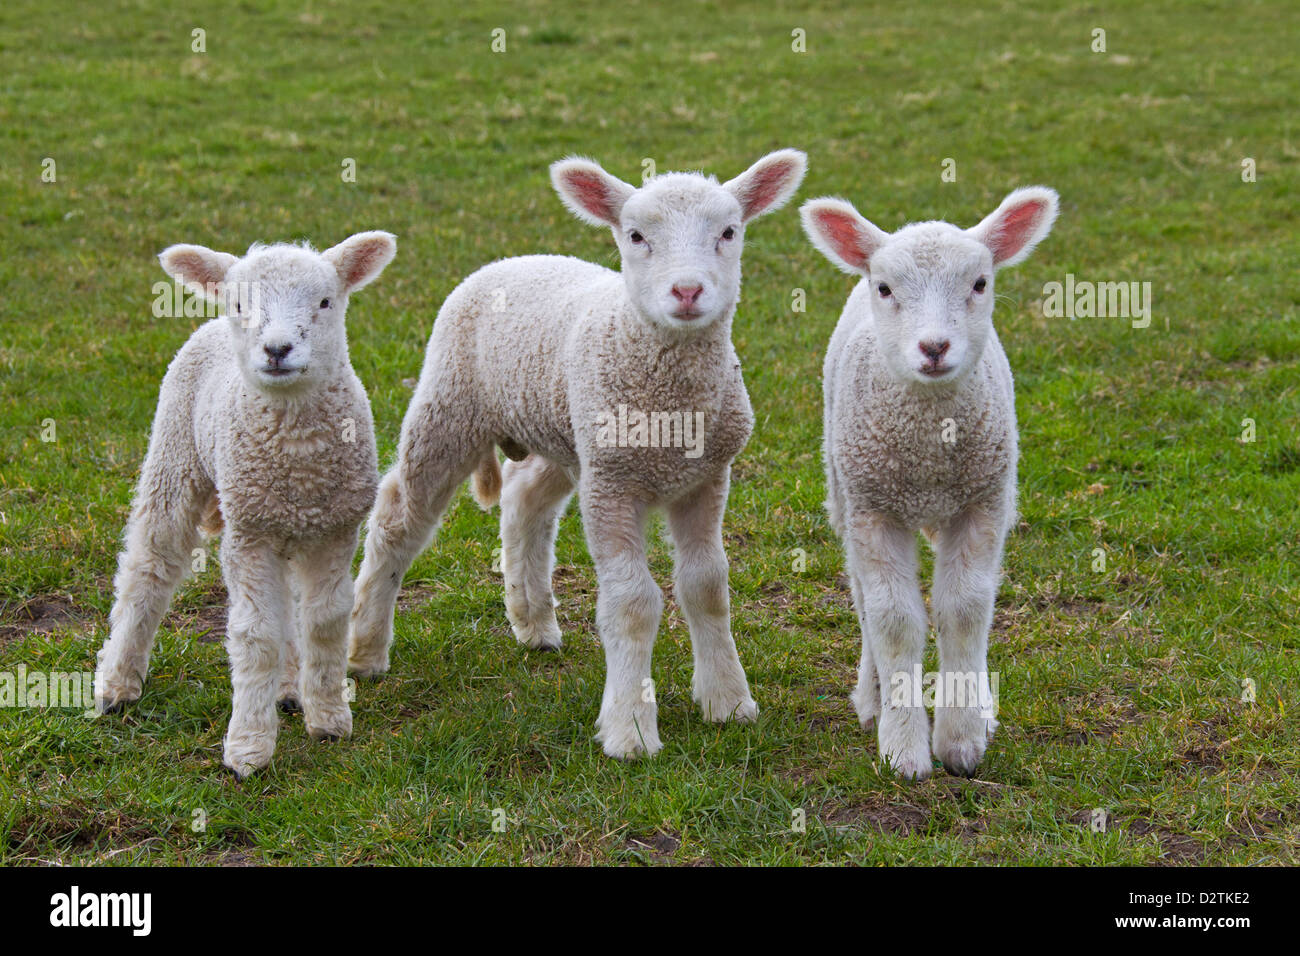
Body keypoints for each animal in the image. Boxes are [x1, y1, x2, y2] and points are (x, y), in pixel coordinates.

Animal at [94, 230, 395, 780]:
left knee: (288, 607)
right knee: (149, 566)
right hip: (175, 457)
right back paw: (117, 684)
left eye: (326, 302)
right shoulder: (248, 534)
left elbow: (324, 621)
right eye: (240, 304)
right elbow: (256, 636)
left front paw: (328, 718)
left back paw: (290, 689)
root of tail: (208, 325)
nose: (277, 349)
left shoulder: (335, 530)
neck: (297, 456)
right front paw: (249, 748)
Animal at [351, 149, 806, 759]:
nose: (687, 292)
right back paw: (366, 651)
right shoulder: (612, 481)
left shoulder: (705, 477)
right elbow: (633, 602)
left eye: (729, 232)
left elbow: (707, 586)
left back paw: (533, 623)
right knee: (397, 519)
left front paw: (729, 701)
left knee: (524, 502)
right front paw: (631, 730)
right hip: (449, 408)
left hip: (564, 437)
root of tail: (516, 258)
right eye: (636, 235)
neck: (670, 406)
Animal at [795, 184, 1060, 780]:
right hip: (845, 491)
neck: (928, 453)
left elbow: (964, 609)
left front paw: (962, 739)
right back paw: (872, 698)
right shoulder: (874, 508)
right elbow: (894, 620)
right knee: (862, 596)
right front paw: (903, 749)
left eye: (980, 283)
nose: (934, 348)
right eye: (886, 288)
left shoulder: (982, 503)